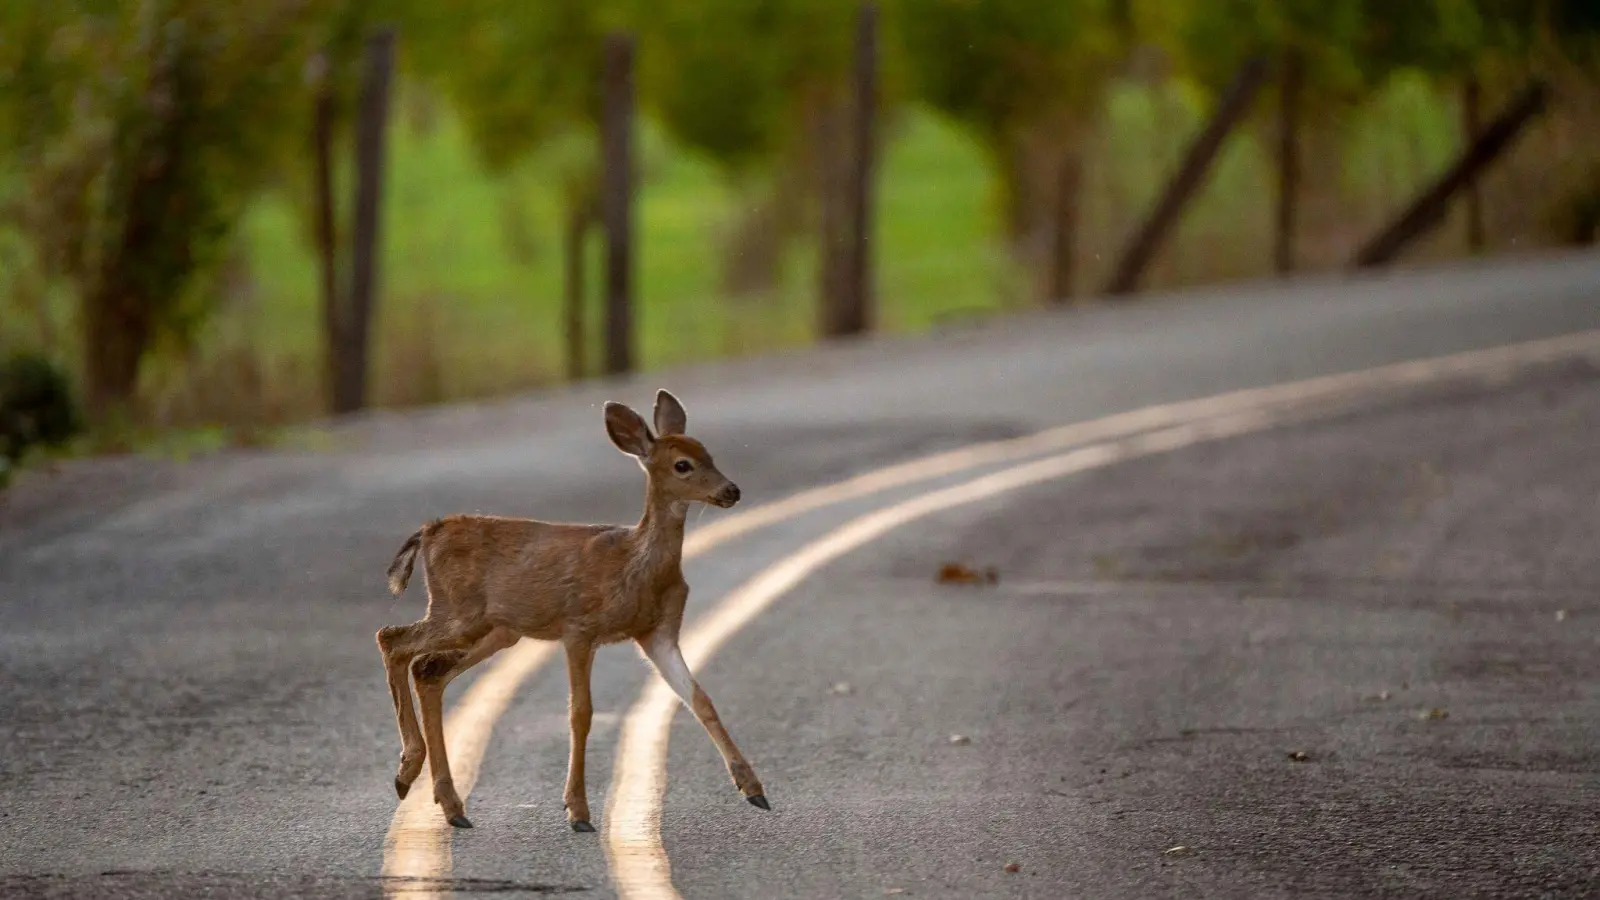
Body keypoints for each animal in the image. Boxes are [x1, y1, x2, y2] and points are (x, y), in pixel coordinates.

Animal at [377, 389, 771, 832]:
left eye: (709, 453)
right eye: (682, 465)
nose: (731, 491)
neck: (637, 565)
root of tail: (429, 530)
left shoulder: (657, 633)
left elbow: (700, 699)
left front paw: (754, 789)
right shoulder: (579, 628)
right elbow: (581, 713)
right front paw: (578, 811)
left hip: (497, 630)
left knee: (427, 670)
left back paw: (449, 804)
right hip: (459, 612)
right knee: (392, 639)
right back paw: (408, 770)